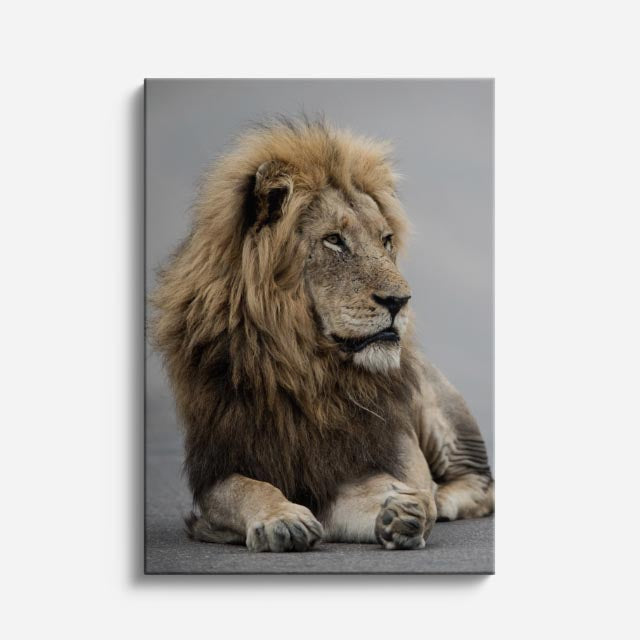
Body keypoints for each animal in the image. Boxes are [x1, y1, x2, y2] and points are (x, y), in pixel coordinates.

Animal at [151, 117, 494, 552]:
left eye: (386, 240)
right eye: (334, 240)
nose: (400, 301)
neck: (309, 371)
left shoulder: (368, 461)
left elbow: (376, 496)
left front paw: (402, 511)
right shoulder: (220, 467)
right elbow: (246, 489)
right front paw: (282, 519)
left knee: (480, 483)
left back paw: (443, 497)